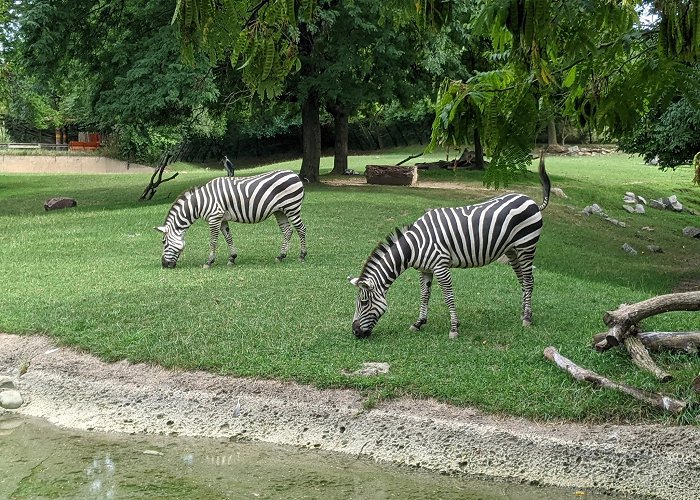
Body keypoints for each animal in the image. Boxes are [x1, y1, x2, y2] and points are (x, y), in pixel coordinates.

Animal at [156, 169, 308, 270]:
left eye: (164, 242)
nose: (164, 265)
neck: (200, 203)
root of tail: (295, 174)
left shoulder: (214, 217)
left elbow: (213, 240)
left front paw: (209, 262)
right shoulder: (222, 219)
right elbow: (228, 237)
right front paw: (232, 258)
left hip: (292, 207)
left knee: (301, 229)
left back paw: (302, 255)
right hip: (280, 211)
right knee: (288, 231)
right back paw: (281, 256)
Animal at [348, 153, 548, 340]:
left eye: (363, 303)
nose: (355, 332)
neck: (414, 246)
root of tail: (532, 201)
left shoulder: (440, 266)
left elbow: (448, 296)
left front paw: (453, 329)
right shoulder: (425, 270)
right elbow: (424, 295)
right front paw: (419, 322)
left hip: (526, 246)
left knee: (529, 281)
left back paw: (527, 319)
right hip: (513, 251)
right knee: (523, 280)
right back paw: (525, 313)